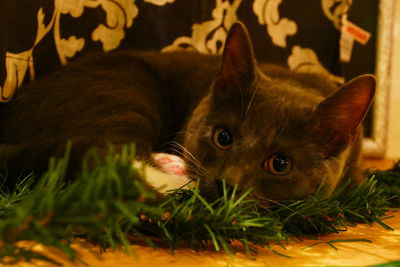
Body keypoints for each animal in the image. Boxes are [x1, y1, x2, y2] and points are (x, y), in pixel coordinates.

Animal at [0, 22, 376, 203]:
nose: (226, 183)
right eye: (223, 137)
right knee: (101, 156)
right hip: (125, 91)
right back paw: (175, 177)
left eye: (280, 164)